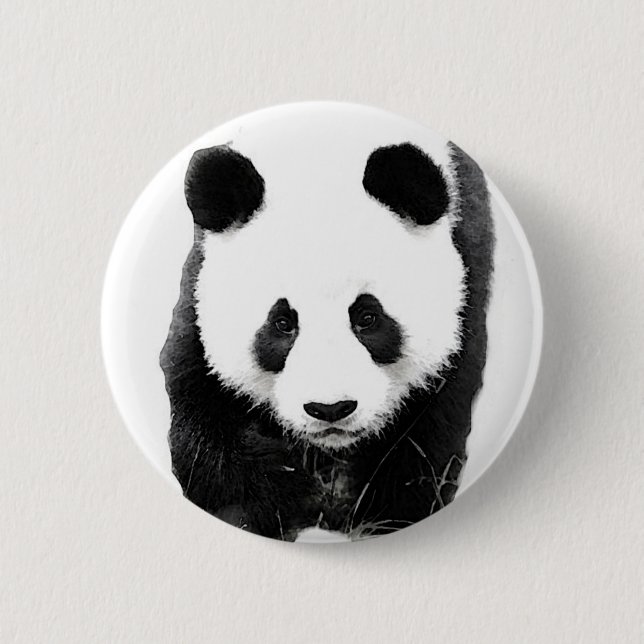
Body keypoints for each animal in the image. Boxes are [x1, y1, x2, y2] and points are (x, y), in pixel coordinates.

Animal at [160, 132, 494, 541]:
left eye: (367, 317)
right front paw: (281, 497)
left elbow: (426, 438)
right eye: (282, 323)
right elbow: (205, 420)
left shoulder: (467, 278)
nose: (331, 409)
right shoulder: (198, 295)